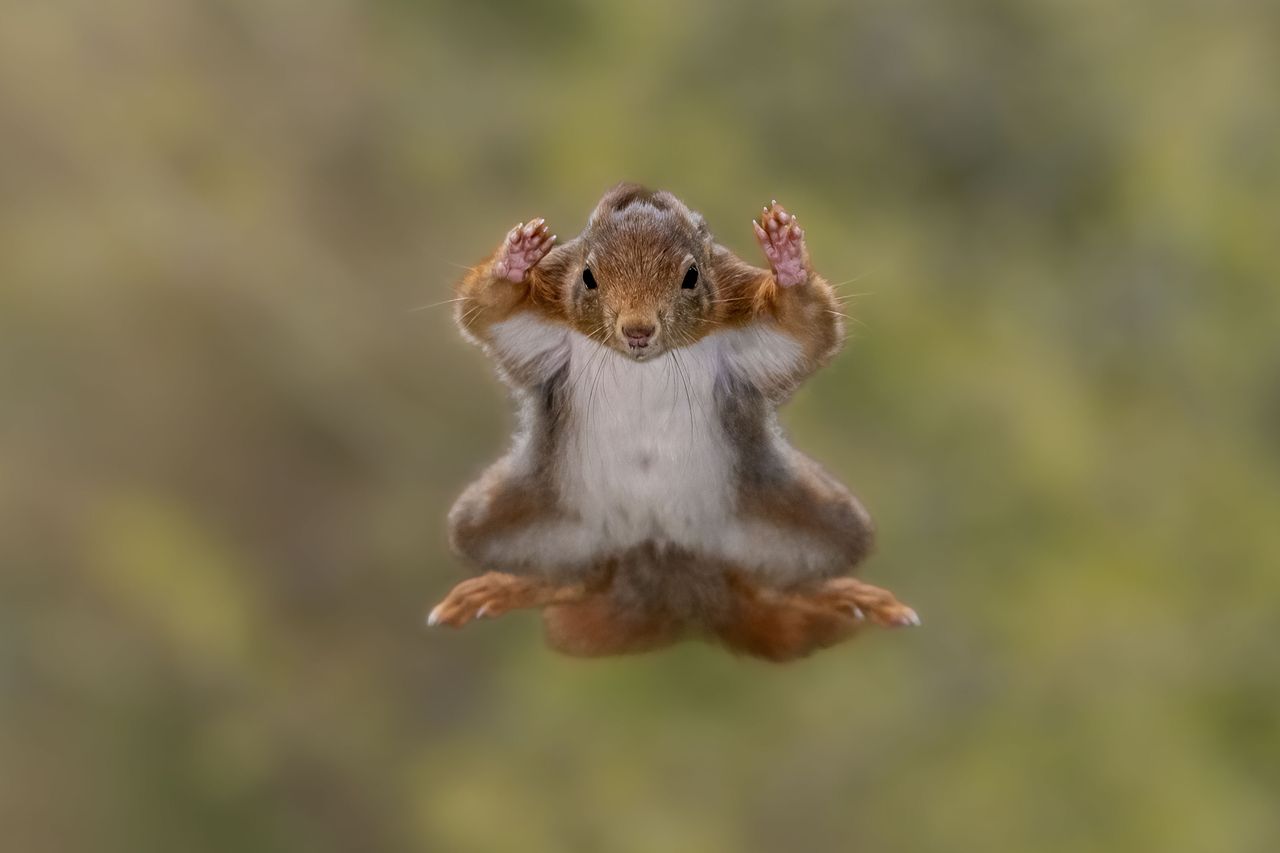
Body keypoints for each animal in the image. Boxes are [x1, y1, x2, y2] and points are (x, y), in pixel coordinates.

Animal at [428, 183, 918, 661]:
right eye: (588, 276)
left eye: (691, 276)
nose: (637, 331)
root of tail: (664, 568)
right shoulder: (544, 320)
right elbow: (488, 313)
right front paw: (515, 262)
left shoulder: (744, 320)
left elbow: (805, 330)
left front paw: (788, 261)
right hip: (512, 517)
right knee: (576, 578)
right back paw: (511, 586)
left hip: (808, 518)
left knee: (770, 583)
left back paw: (837, 595)